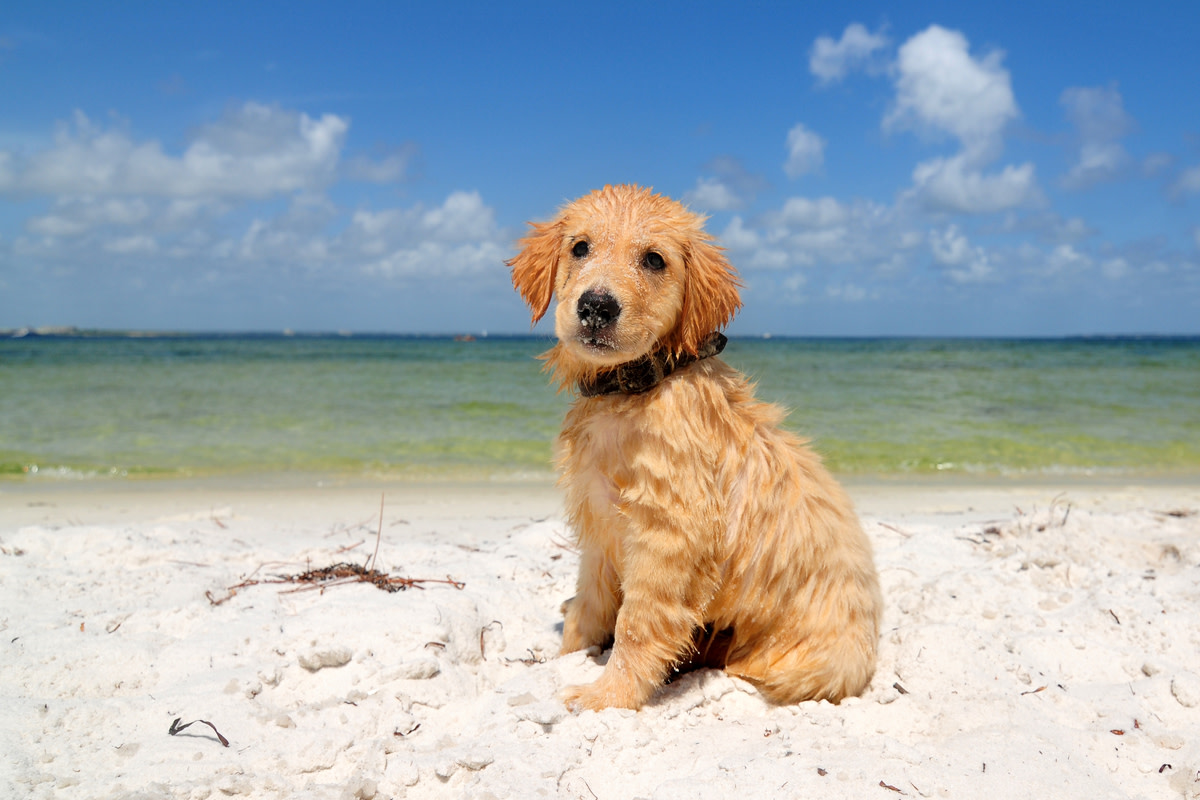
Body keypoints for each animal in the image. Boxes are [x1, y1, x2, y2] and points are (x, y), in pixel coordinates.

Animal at [506, 184, 883, 710]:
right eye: (579, 247)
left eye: (654, 259)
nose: (597, 306)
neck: (635, 389)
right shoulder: (599, 524)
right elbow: (591, 601)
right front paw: (567, 653)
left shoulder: (672, 535)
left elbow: (637, 624)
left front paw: (607, 696)